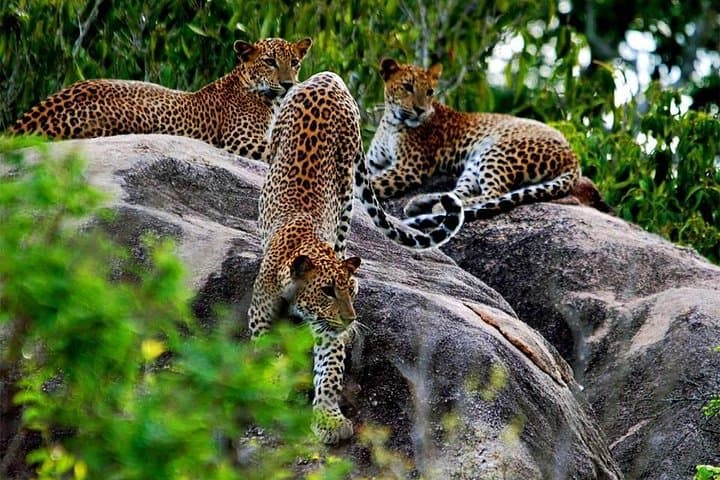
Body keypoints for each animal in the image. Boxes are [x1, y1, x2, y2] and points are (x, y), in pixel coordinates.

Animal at [248, 71, 464, 444]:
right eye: (327, 291)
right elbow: (262, 350)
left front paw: (329, 419)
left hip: (347, 183)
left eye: (351, 291)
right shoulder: (260, 315)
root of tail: (327, 77)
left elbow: (330, 371)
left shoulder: (327, 331)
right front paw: (271, 387)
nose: (351, 319)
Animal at [367, 58, 589, 230]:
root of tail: (574, 157)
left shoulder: (408, 168)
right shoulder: (372, 162)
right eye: (407, 87)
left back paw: (437, 208)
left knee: (493, 194)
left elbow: (373, 183)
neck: (391, 122)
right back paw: (421, 203)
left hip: (497, 152)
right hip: (475, 161)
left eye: (429, 92)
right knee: (459, 193)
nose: (421, 110)